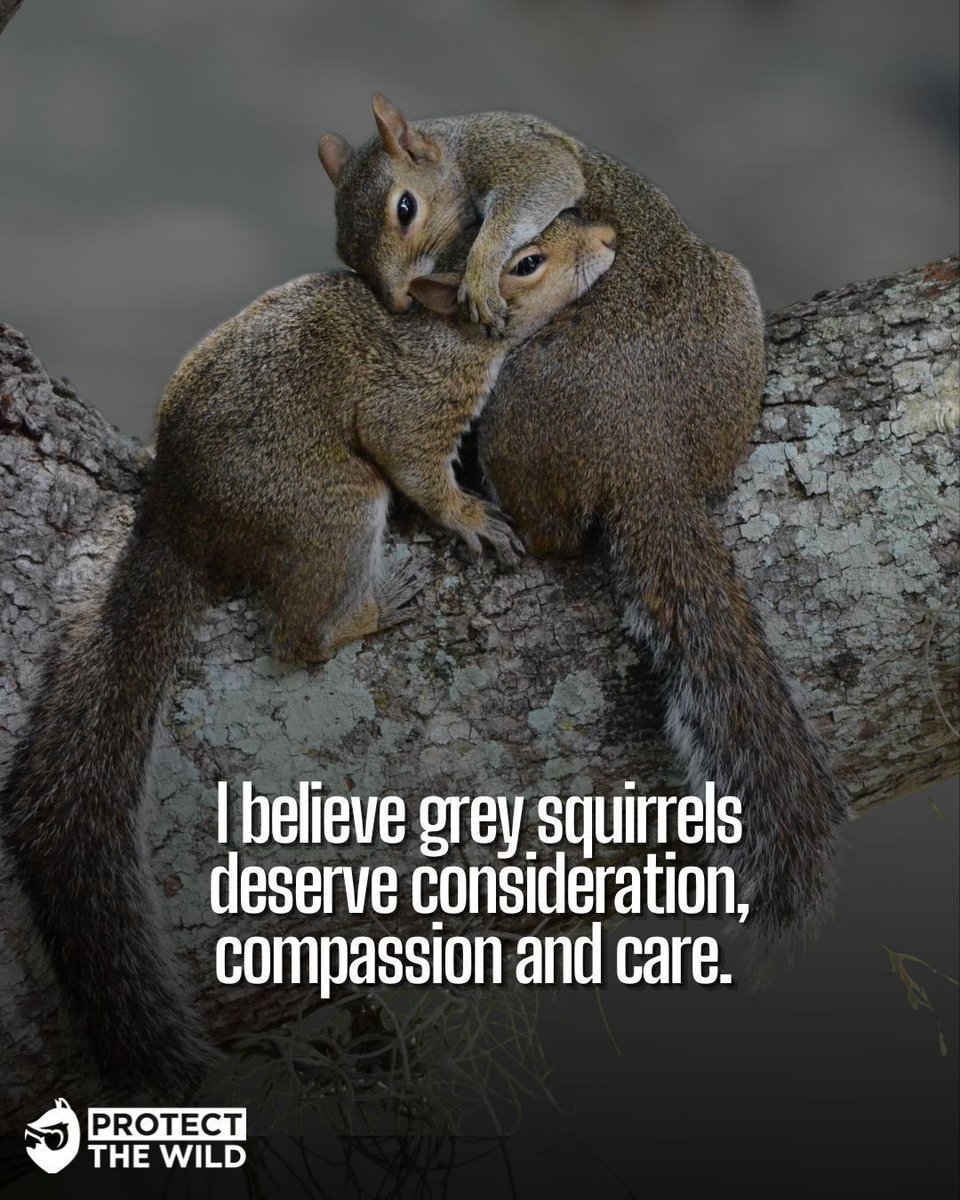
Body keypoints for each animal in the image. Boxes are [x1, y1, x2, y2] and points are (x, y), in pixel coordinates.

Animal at [0, 212, 616, 1097]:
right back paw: (368, 613)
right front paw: (470, 516)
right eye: (528, 263)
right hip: (331, 508)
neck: (448, 335)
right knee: (297, 634)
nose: (610, 238)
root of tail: (179, 522)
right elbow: (419, 468)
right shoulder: (412, 407)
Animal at [320, 95, 850, 945]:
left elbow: (544, 180)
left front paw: (478, 268)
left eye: (404, 209)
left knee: (552, 537)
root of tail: (646, 451)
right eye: (343, 243)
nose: (395, 300)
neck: (454, 151)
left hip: (512, 422)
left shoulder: (512, 151)